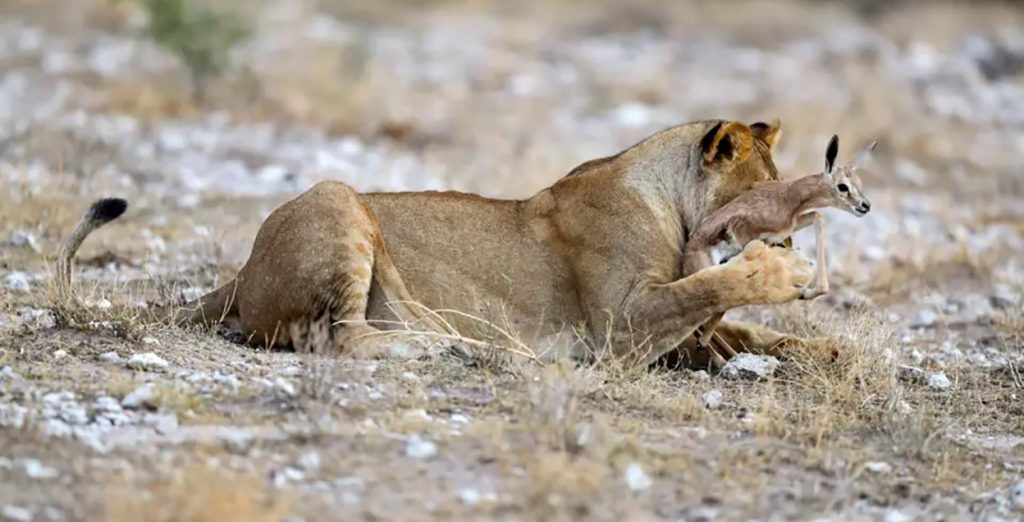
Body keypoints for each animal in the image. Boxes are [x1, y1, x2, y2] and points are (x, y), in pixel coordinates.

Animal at [56, 119, 814, 368]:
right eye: (765, 198)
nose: (791, 236)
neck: (667, 198)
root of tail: (239, 274)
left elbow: (740, 329)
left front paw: (815, 346)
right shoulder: (618, 330)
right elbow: (710, 286)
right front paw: (782, 275)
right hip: (337, 200)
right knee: (340, 339)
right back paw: (452, 346)